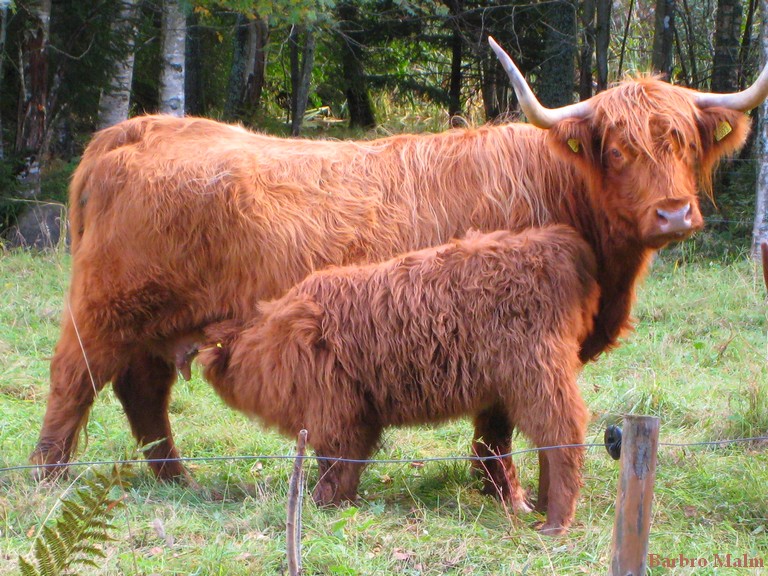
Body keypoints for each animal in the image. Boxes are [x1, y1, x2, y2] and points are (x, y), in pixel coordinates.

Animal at [31, 39, 768, 491]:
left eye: (683, 142)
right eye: (617, 150)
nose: (674, 214)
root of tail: (138, 127)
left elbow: (493, 423)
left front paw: (490, 489)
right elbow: (498, 423)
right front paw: (504, 492)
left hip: (156, 326)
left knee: (142, 393)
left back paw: (179, 480)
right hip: (105, 310)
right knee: (73, 383)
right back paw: (47, 479)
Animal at [186, 226, 600, 534]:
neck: (273, 341)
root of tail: (551, 243)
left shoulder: (335, 411)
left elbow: (334, 463)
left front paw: (319, 505)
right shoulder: (358, 414)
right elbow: (348, 465)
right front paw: (343, 504)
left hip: (535, 377)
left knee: (563, 435)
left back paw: (555, 522)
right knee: (550, 442)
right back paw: (540, 505)